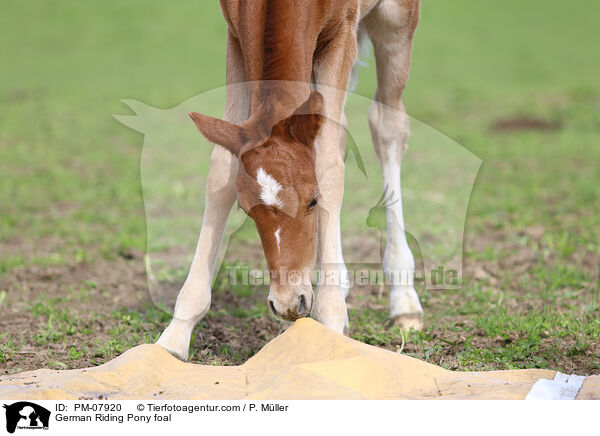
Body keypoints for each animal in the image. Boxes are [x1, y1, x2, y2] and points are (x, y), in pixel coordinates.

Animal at [158, 0, 422, 362]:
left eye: (313, 200)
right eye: (246, 210)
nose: (286, 304)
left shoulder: (341, 33)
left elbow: (327, 165)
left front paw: (331, 321)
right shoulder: (235, 37)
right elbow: (221, 167)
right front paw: (176, 333)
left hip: (396, 19)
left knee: (388, 126)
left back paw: (404, 300)